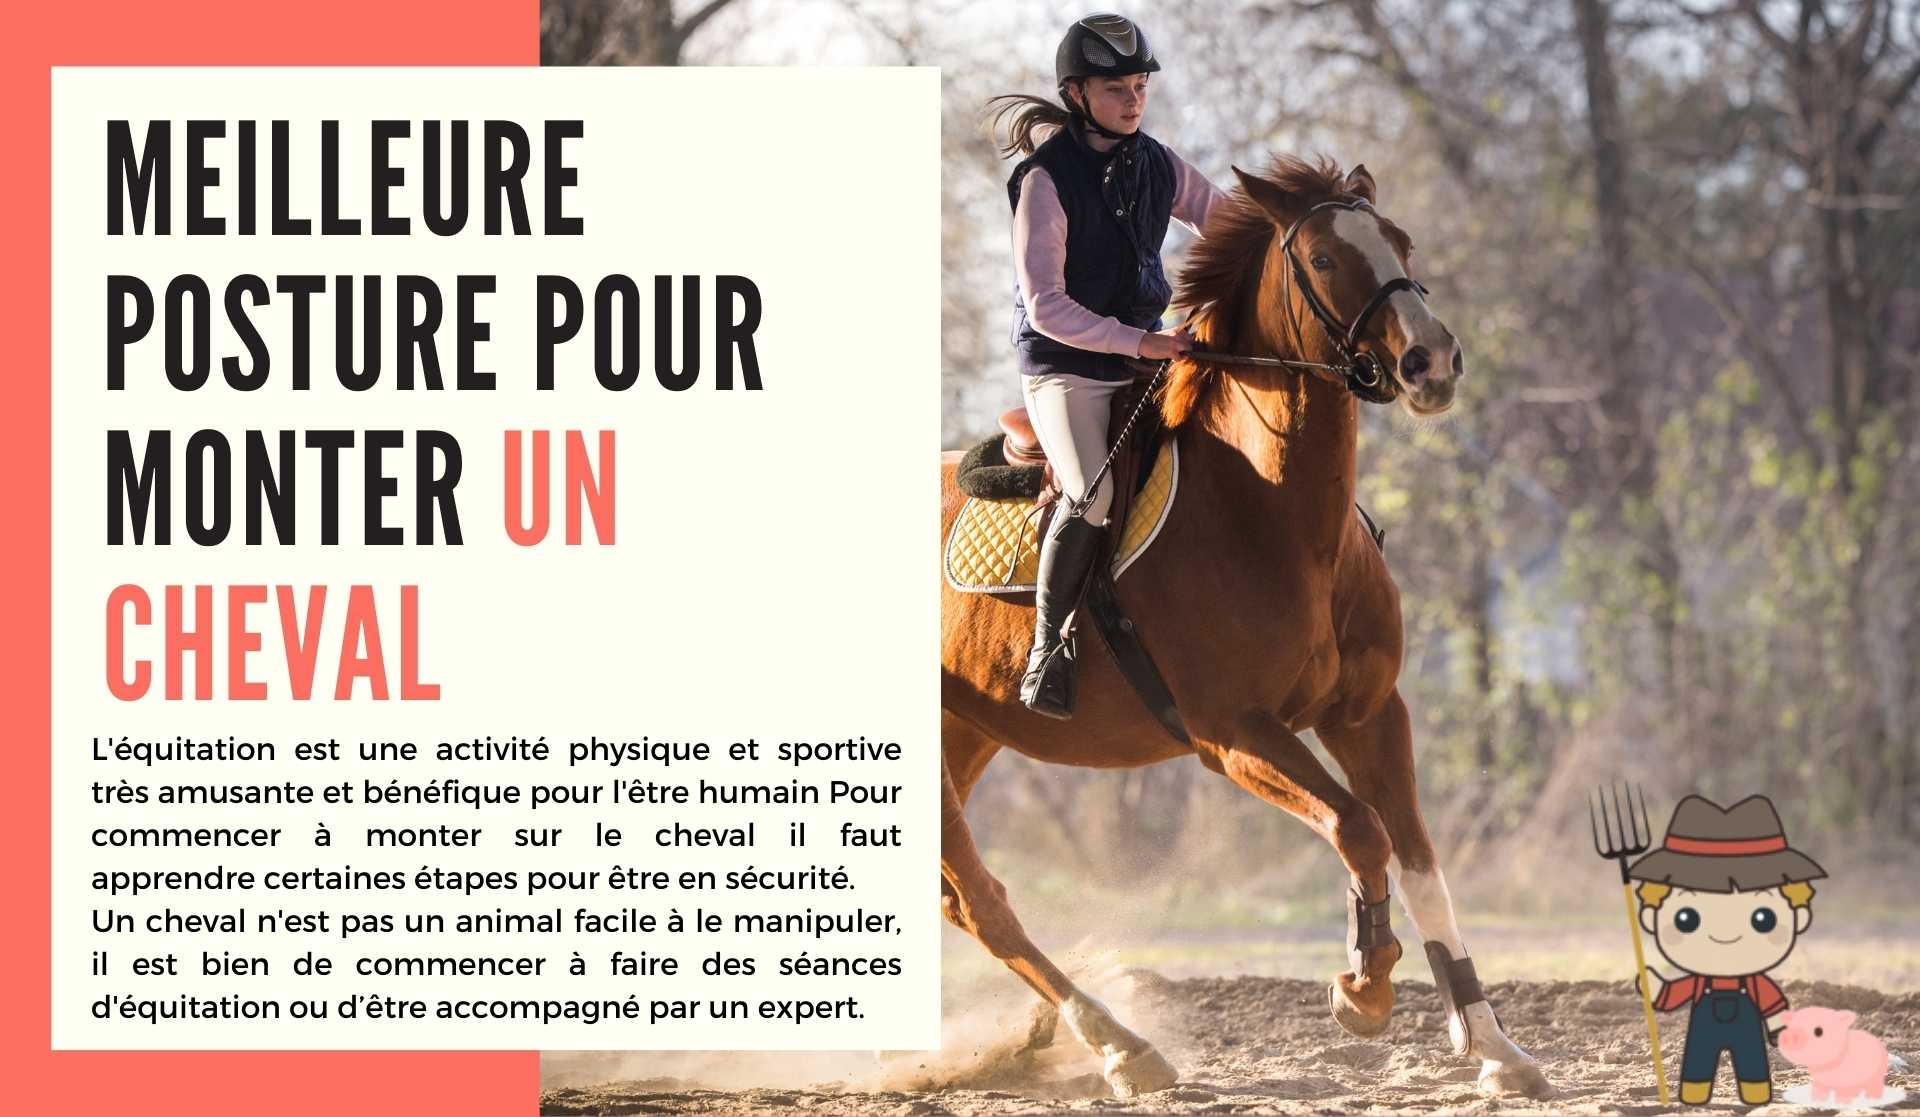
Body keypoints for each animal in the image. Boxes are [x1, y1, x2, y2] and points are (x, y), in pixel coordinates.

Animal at [938, 155, 1552, 1100]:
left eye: (1401, 242)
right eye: (1327, 259)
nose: (1433, 361)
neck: (1273, 514)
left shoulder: (1369, 714)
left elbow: (1418, 859)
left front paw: (1493, 1044)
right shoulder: (1233, 735)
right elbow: (1358, 828)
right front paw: (1364, 986)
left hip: (964, 734)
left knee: (955, 897)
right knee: (981, 900)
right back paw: (1122, 1046)